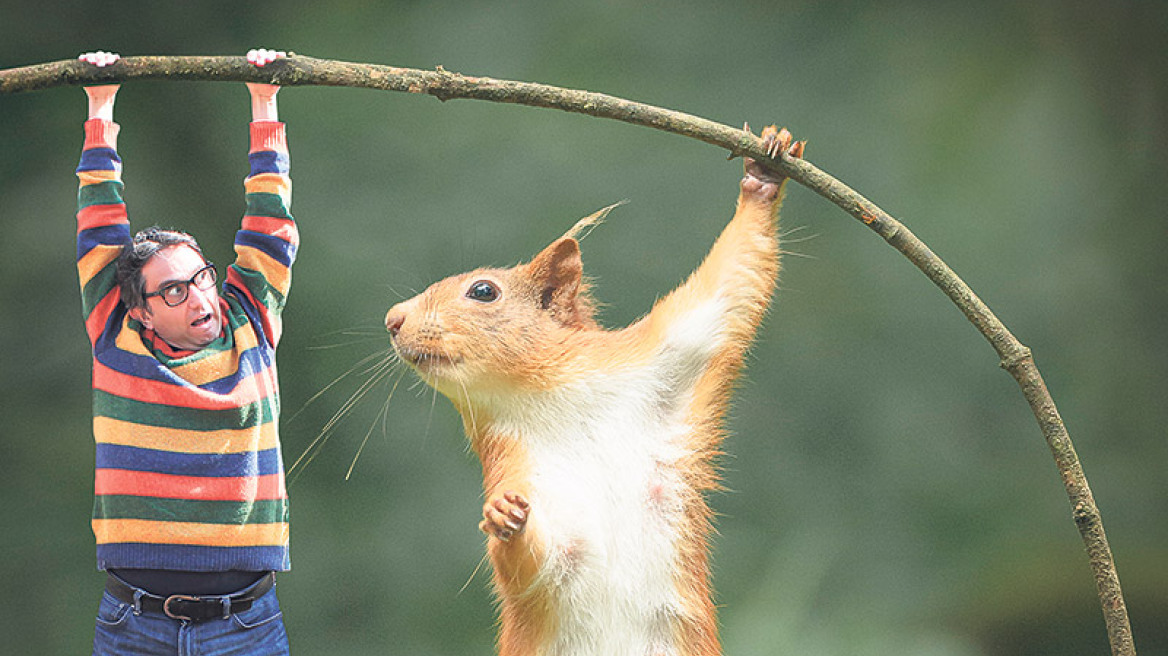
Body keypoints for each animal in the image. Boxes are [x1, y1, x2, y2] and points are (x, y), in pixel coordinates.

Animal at [383, 124, 803, 648]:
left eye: (483, 291)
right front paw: (502, 519)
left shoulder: (671, 354)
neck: (551, 399)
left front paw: (764, 170)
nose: (392, 319)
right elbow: (535, 567)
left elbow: (730, 287)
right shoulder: (514, 466)